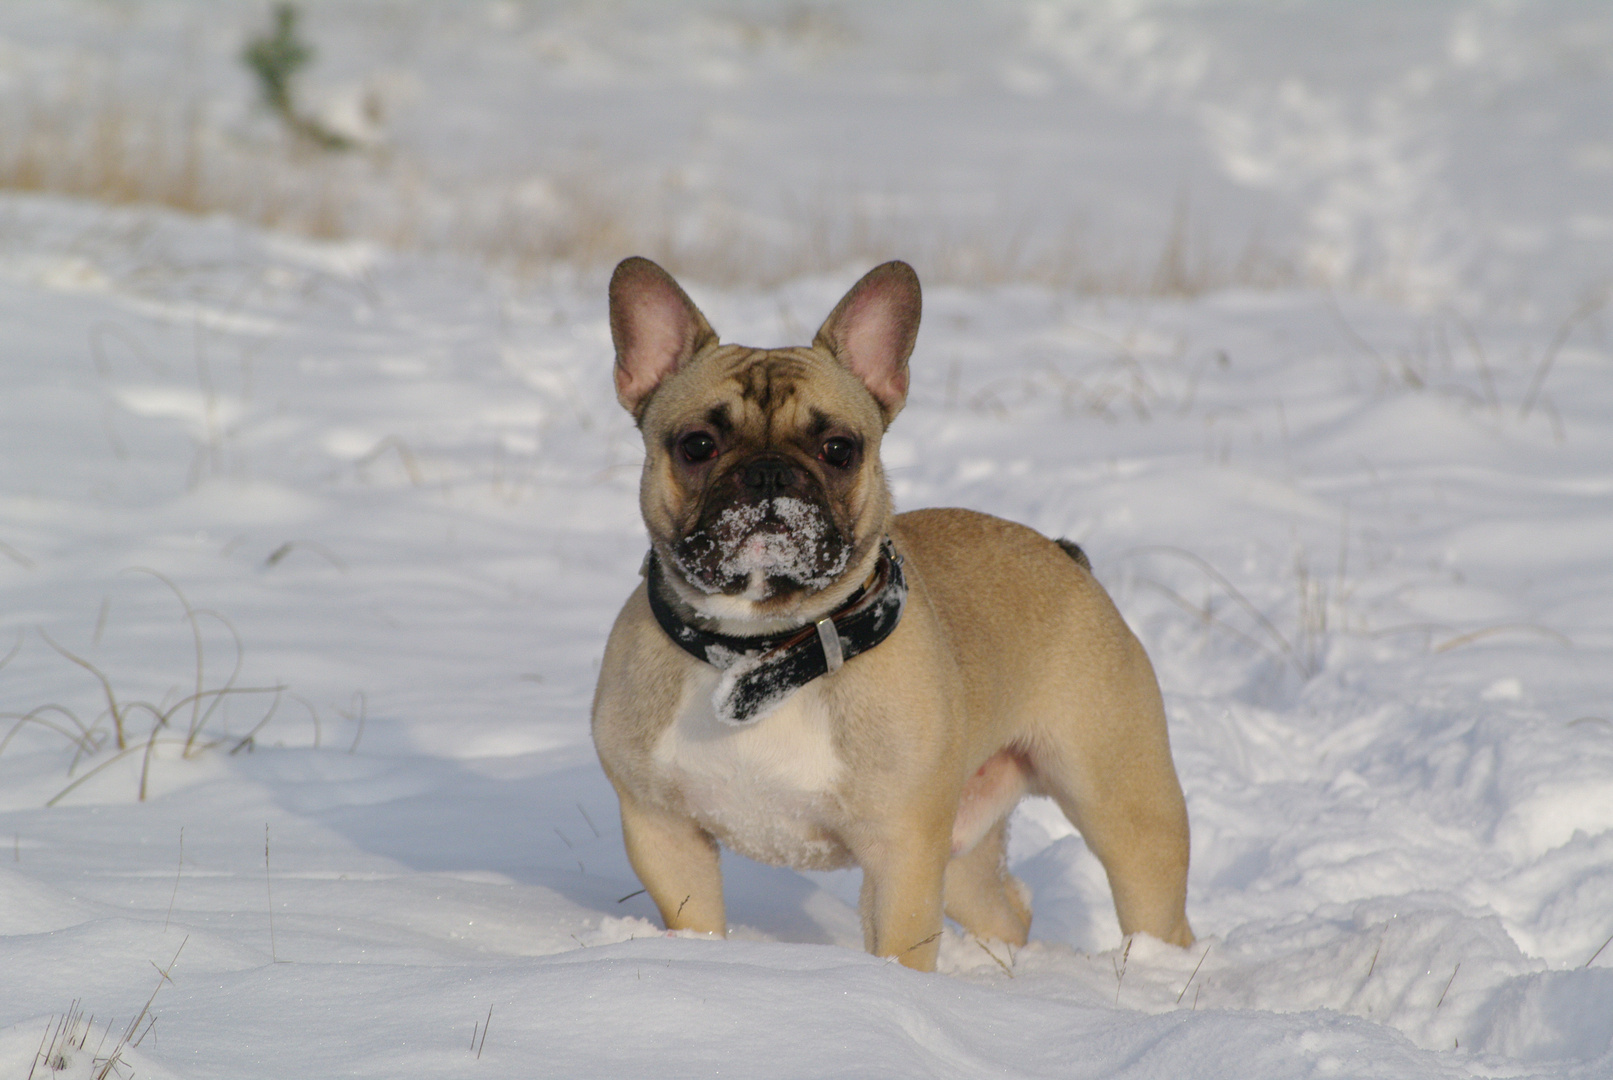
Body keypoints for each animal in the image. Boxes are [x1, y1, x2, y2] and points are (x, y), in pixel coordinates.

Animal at [593, 259, 1200, 973]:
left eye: (837, 448)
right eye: (697, 445)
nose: (768, 472)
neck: (763, 648)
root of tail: (1065, 557)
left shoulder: (902, 854)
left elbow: (899, 949)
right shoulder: (662, 833)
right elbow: (696, 921)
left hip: (1123, 805)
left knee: (1155, 901)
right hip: (962, 840)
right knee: (1003, 908)